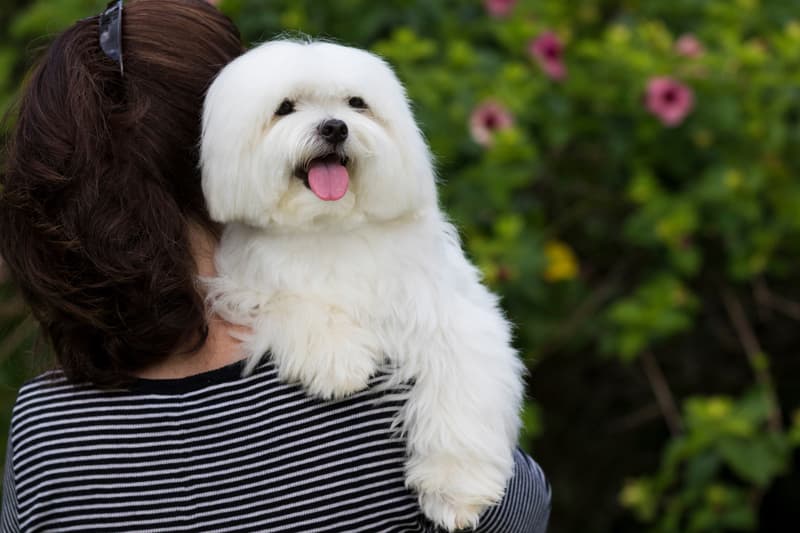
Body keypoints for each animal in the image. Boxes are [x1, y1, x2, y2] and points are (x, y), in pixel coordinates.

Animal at [200, 40, 524, 528]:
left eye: (356, 103)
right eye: (285, 108)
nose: (335, 127)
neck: (330, 226)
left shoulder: (450, 314)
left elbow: (460, 388)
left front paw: (454, 490)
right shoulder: (243, 286)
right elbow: (292, 302)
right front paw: (336, 362)